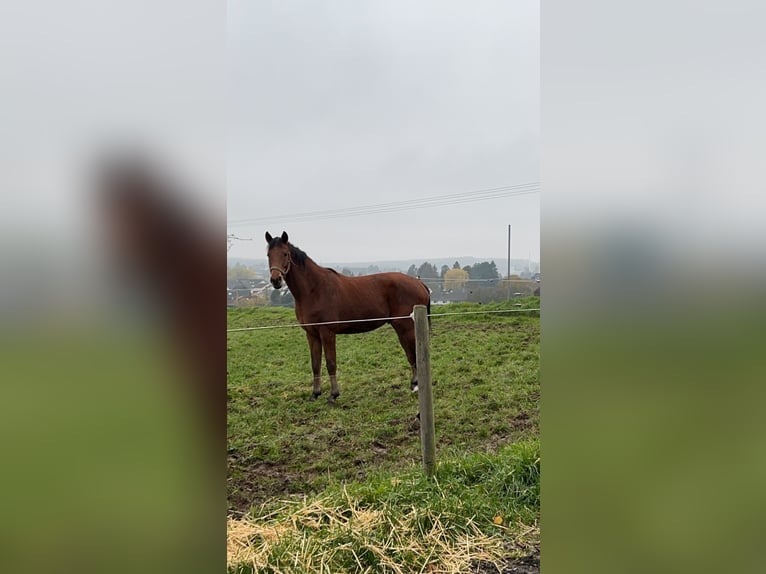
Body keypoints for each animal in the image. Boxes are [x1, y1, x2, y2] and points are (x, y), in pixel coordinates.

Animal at [266, 232, 432, 408]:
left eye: (285, 254)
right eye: (269, 255)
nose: (276, 280)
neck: (313, 290)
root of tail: (419, 283)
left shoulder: (327, 332)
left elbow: (331, 363)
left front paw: (333, 396)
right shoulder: (311, 334)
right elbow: (315, 364)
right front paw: (315, 394)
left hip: (405, 327)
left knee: (413, 353)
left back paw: (416, 385)